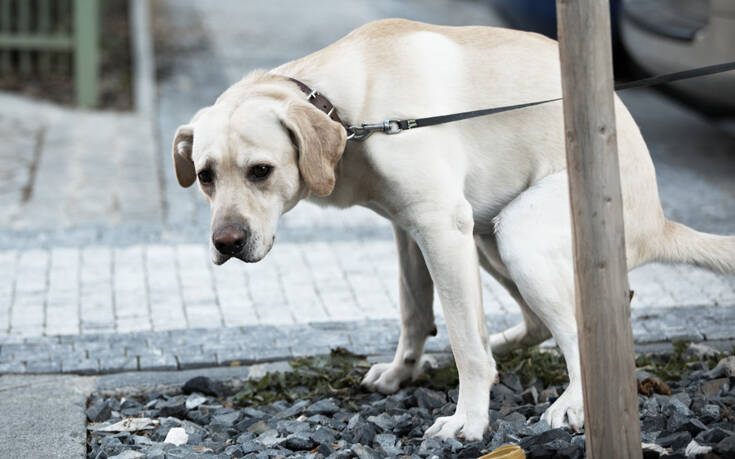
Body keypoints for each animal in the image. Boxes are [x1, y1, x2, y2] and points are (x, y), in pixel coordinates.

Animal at [174, 18, 735, 442]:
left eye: (261, 171)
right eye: (204, 176)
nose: (225, 243)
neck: (350, 110)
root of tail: (658, 220)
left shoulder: (439, 225)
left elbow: (465, 342)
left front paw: (468, 418)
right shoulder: (409, 230)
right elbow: (414, 310)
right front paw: (403, 370)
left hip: (519, 234)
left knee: (580, 332)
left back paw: (571, 402)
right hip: (487, 240)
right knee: (551, 321)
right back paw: (505, 345)